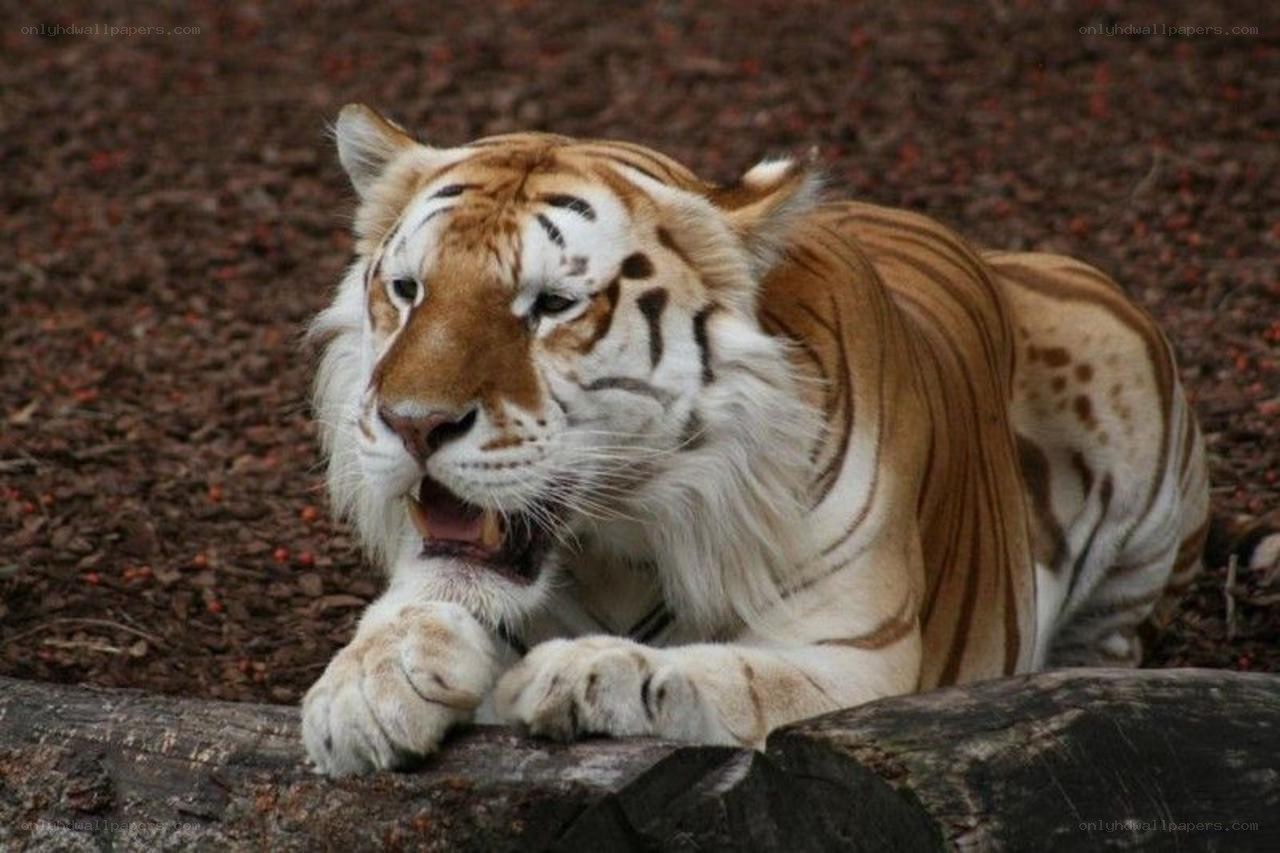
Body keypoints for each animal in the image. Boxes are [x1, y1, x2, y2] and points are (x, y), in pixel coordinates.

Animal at [300, 103, 1271, 777]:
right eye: (409, 289)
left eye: (552, 305)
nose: (412, 421)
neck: (622, 541)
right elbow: (414, 602)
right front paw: (363, 688)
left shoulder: (858, 665)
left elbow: (721, 676)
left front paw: (578, 674)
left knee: (1114, 644)